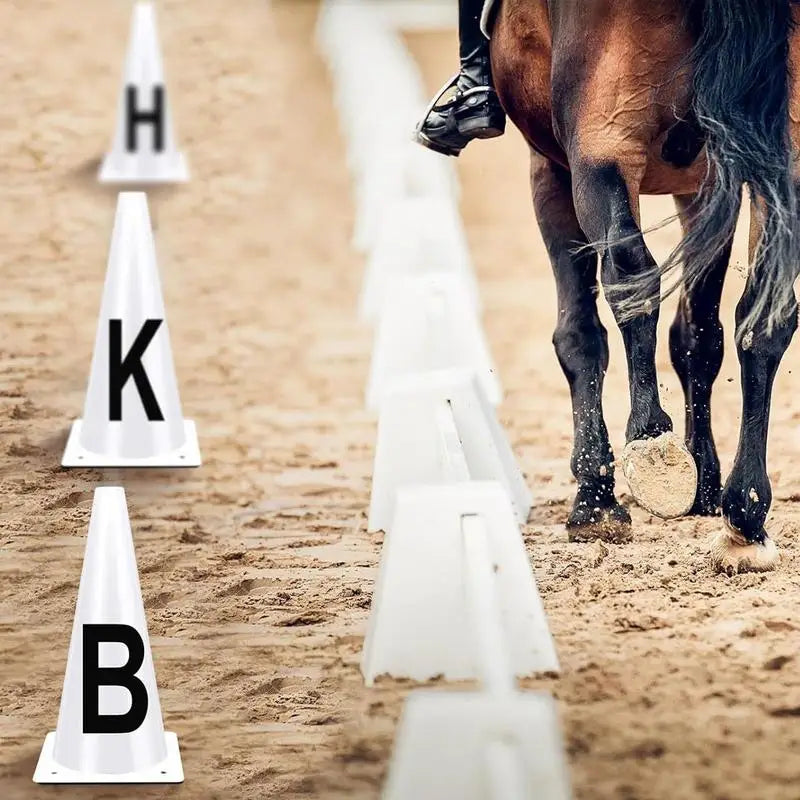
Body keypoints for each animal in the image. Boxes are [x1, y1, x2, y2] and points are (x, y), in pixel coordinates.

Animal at [488, 0, 800, 576]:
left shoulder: (551, 166)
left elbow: (580, 334)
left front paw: (595, 498)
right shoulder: (707, 184)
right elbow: (699, 337)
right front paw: (705, 485)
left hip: (601, 142)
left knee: (629, 276)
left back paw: (652, 448)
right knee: (765, 315)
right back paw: (744, 517)